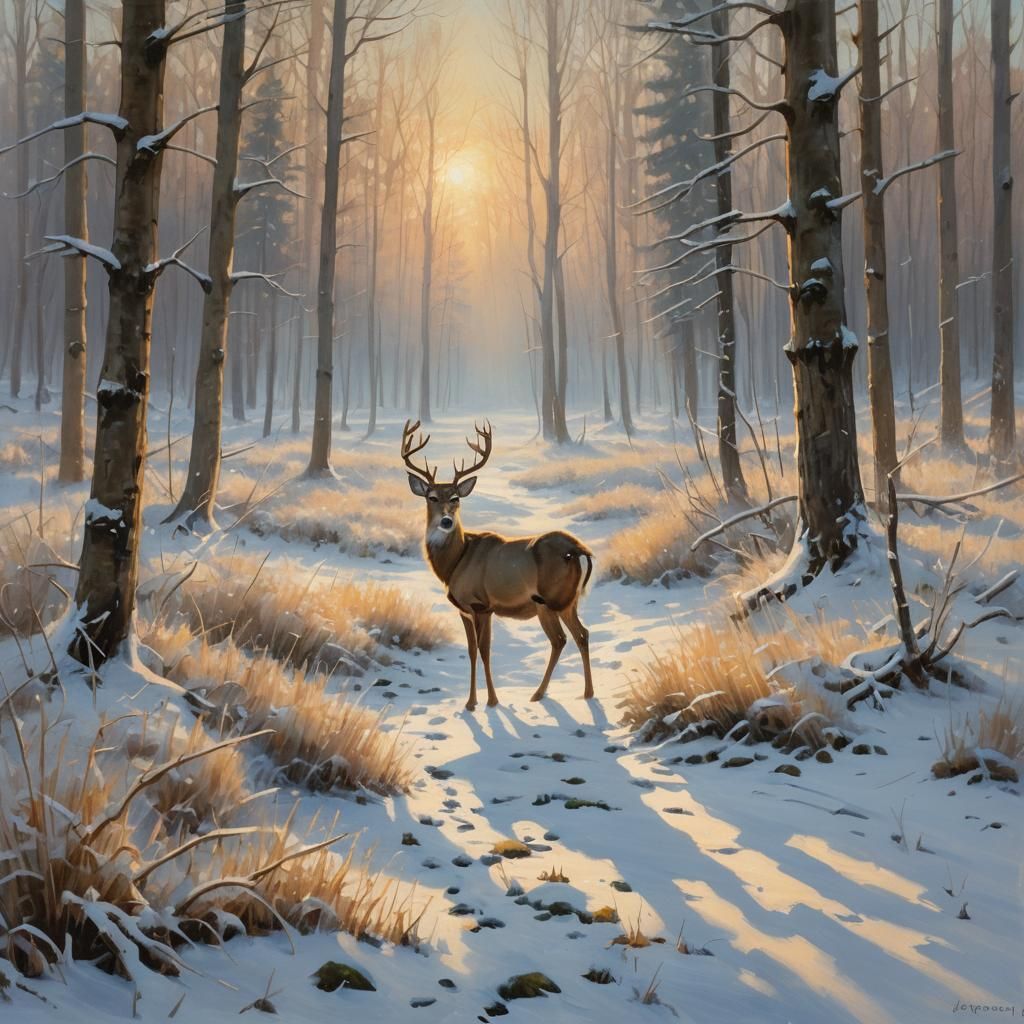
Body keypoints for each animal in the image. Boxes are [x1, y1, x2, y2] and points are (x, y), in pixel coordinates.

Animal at [401, 419, 595, 711]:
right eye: (431, 497)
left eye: (456, 498)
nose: (446, 521)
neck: (455, 563)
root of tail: (577, 548)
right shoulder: (465, 610)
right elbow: (471, 651)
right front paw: (472, 702)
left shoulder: (481, 604)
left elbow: (484, 651)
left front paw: (490, 701)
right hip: (563, 601)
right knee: (578, 635)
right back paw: (581, 693)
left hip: (552, 599)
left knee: (562, 638)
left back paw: (544, 693)